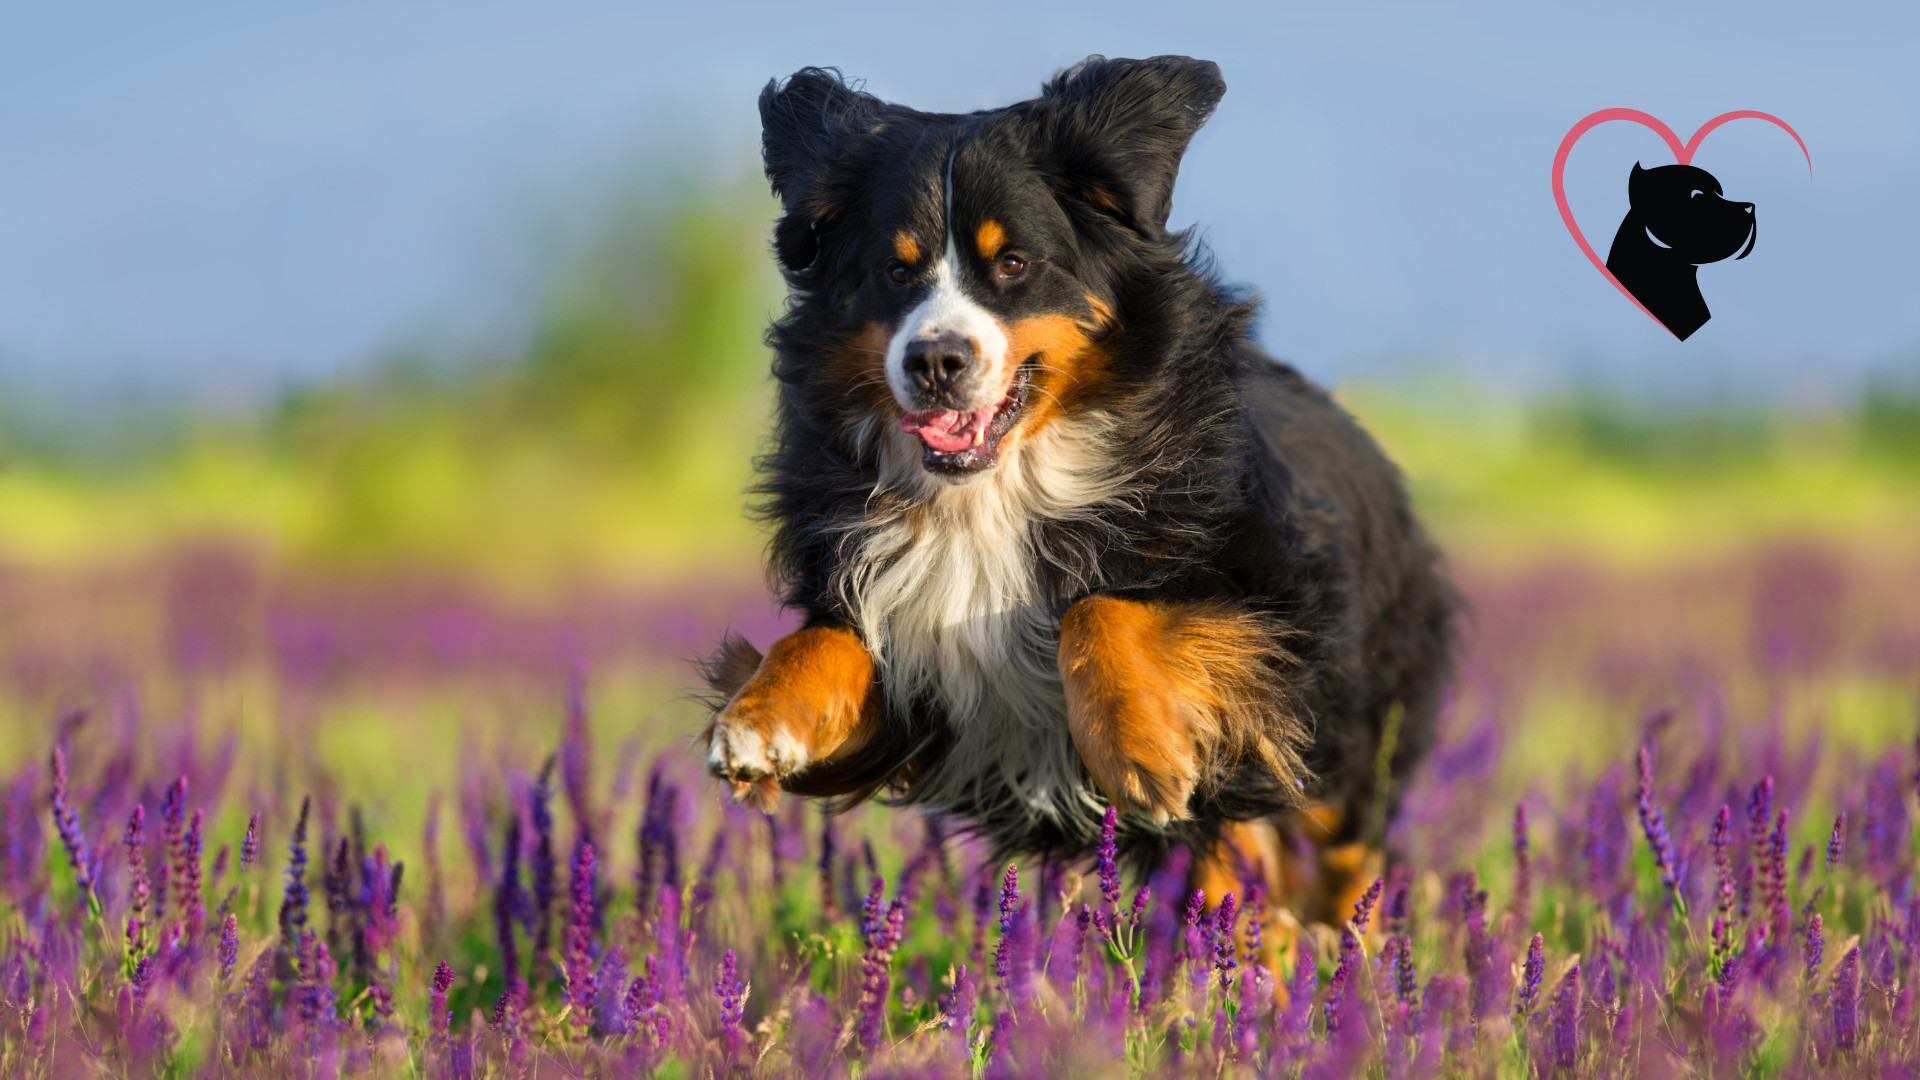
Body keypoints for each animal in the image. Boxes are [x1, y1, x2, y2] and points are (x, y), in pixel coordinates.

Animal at [702, 54, 1451, 922]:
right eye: (894, 270)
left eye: (1014, 263)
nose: (934, 361)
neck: (992, 494)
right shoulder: (919, 682)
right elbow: (827, 635)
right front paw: (755, 722)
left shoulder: (1277, 614)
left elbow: (1095, 609)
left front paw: (1141, 748)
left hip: (1350, 734)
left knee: (1341, 850)